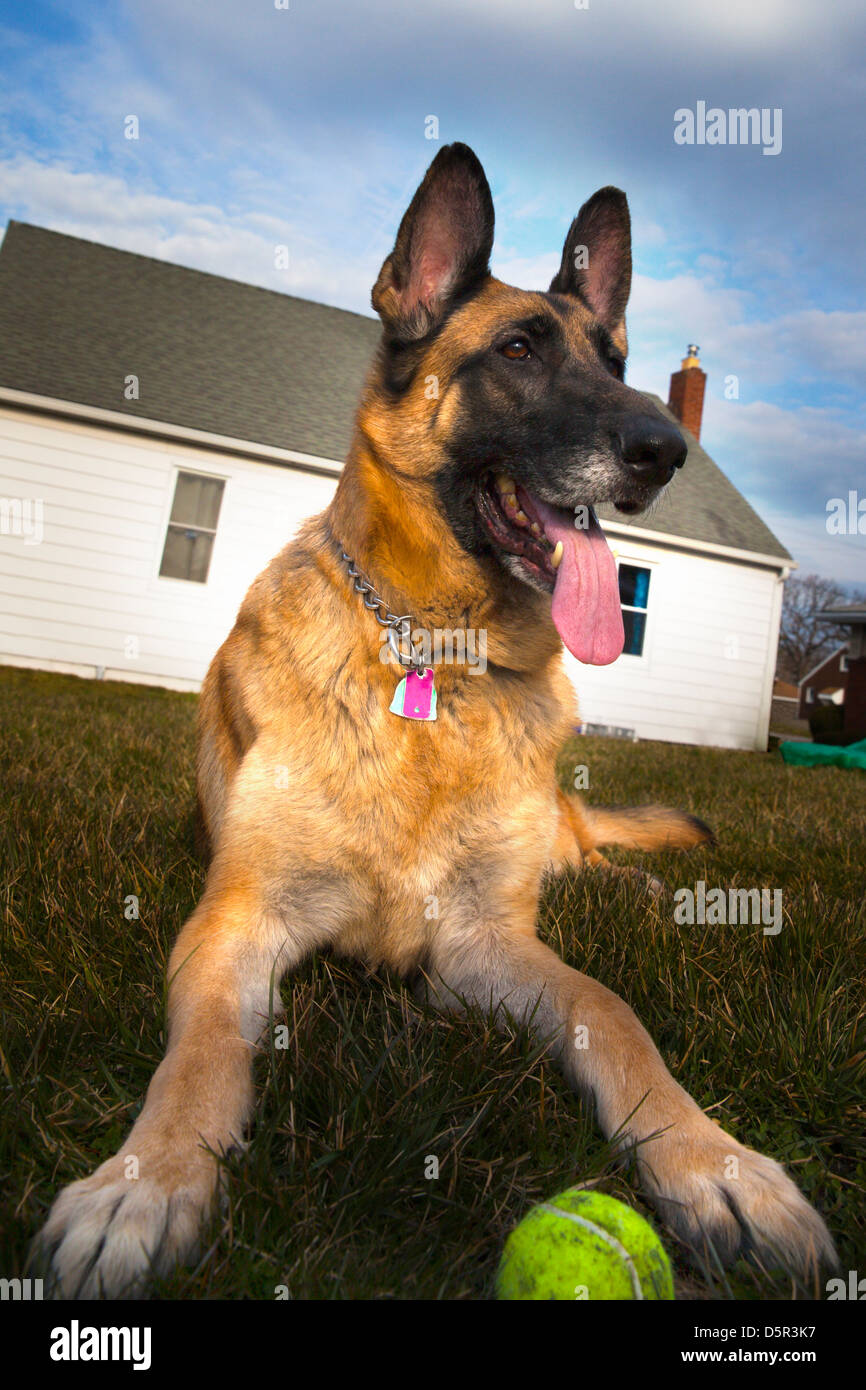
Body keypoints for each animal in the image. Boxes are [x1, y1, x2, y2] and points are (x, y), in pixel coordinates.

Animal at [32, 143, 834, 1301]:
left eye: (617, 361)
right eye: (517, 350)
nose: (665, 448)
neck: (436, 661)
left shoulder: (484, 943)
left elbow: (614, 1014)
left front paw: (716, 1166)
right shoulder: (234, 922)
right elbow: (200, 1058)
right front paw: (145, 1181)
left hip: (556, 834)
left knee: (589, 857)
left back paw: (637, 888)